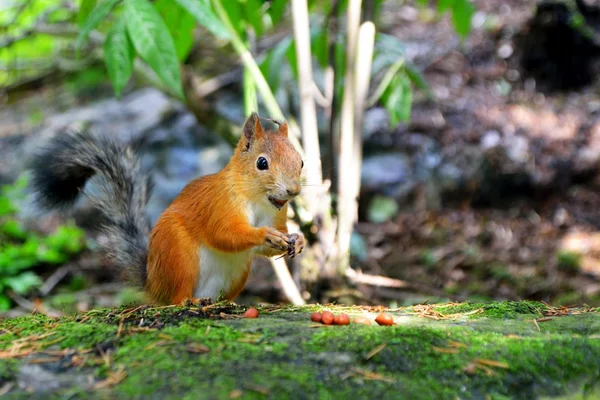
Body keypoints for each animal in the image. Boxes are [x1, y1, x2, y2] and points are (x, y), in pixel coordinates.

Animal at [30, 111, 304, 304]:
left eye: (301, 161)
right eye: (262, 163)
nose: (293, 191)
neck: (257, 198)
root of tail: (153, 285)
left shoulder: (276, 215)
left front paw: (297, 239)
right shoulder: (219, 205)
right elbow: (224, 234)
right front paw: (265, 234)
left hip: (238, 272)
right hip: (178, 255)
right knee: (176, 297)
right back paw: (190, 301)